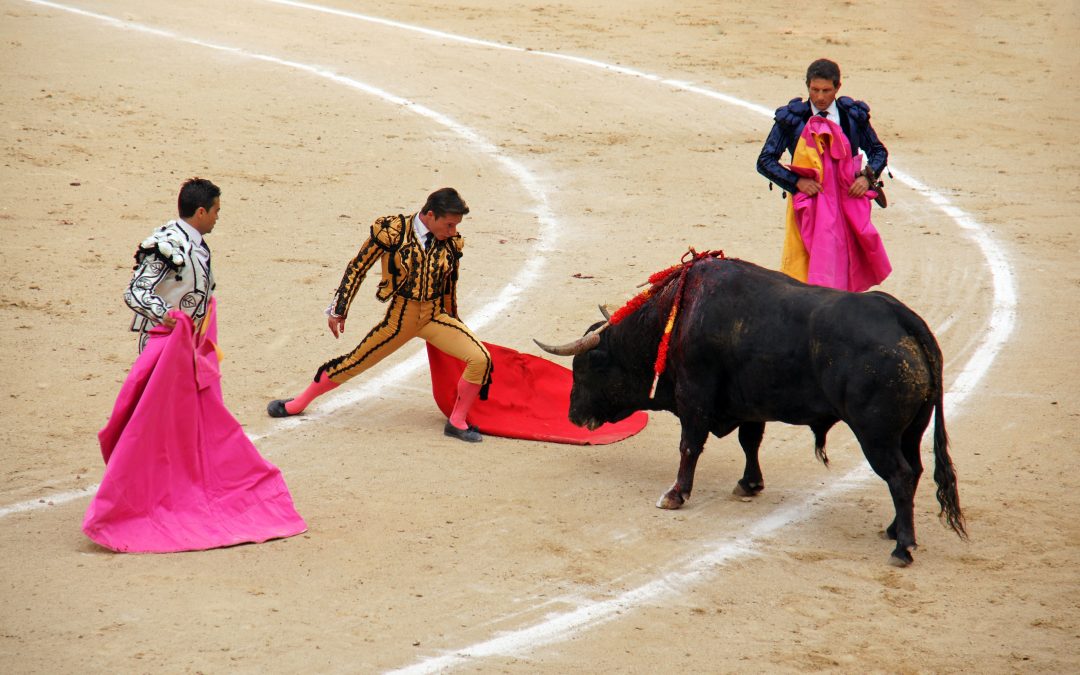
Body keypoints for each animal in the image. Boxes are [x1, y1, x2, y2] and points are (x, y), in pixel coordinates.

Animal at [535, 257, 967, 561]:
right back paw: (893, 530)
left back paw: (902, 547)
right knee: (913, 472)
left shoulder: (695, 398)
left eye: (589, 366)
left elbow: (689, 446)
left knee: (899, 476)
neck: (674, 319)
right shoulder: (750, 406)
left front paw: (675, 494)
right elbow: (750, 441)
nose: (573, 416)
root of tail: (905, 321)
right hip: (910, 430)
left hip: (876, 434)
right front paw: (749, 484)